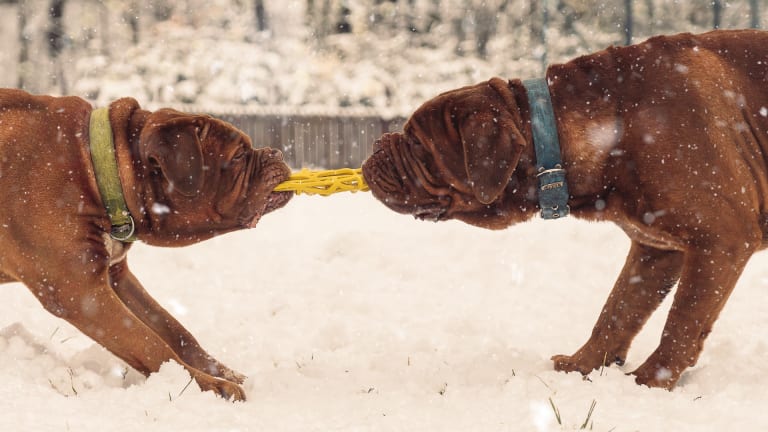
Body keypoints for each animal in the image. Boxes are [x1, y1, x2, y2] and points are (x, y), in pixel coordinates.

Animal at [0, 89, 292, 400]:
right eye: (238, 155)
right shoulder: (79, 290)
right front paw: (210, 386)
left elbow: (171, 329)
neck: (96, 169)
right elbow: (148, 343)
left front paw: (220, 372)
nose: (276, 152)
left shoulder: (115, 276)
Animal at [364, 28, 768, 390]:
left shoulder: (720, 240)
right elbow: (618, 309)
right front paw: (582, 366)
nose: (378, 144)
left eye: (417, 143)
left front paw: (651, 382)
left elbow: (683, 319)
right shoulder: (655, 248)